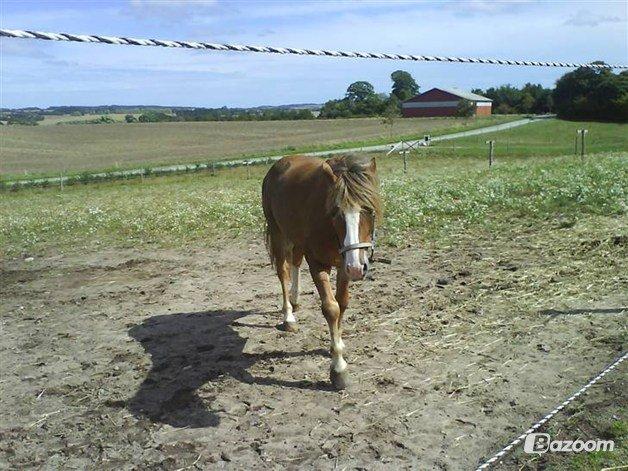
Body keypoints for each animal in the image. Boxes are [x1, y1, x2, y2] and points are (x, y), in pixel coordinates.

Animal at [262, 155, 382, 390]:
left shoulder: (343, 263)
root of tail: (280, 163)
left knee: (295, 262)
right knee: (283, 272)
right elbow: (331, 308)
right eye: (335, 212)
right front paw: (338, 368)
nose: (358, 268)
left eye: (369, 209)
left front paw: (338, 342)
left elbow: (342, 302)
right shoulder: (318, 264)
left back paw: (296, 300)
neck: (331, 230)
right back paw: (288, 316)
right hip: (278, 233)